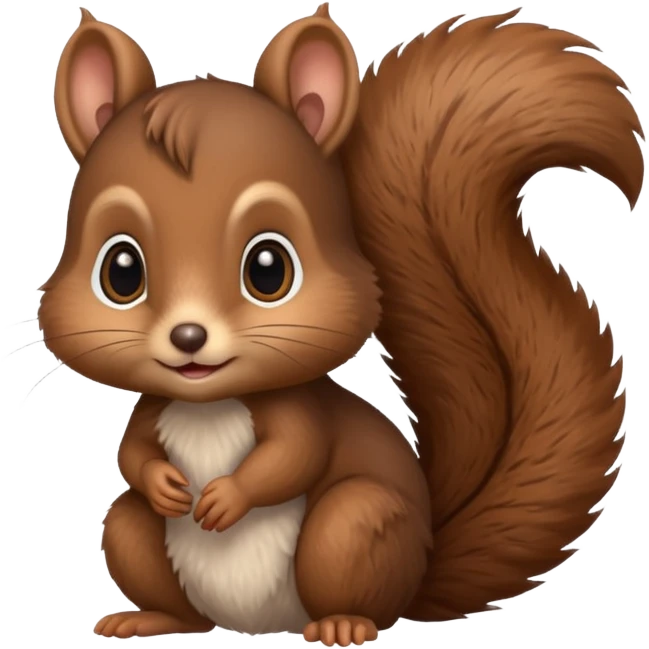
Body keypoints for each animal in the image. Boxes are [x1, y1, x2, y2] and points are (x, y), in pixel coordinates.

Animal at [41, 3, 644, 645]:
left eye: (269, 268)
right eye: (121, 272)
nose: (188, 338)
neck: (209, 403)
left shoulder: (301, 412)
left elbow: (294, 456)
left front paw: (228, 496)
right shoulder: (156, 408)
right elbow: (132, 455)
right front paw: (164, 483)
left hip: (354, 526)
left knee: (356, 568)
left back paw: (344, 624)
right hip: (134, 535)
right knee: (146, 546)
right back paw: (151, 617)